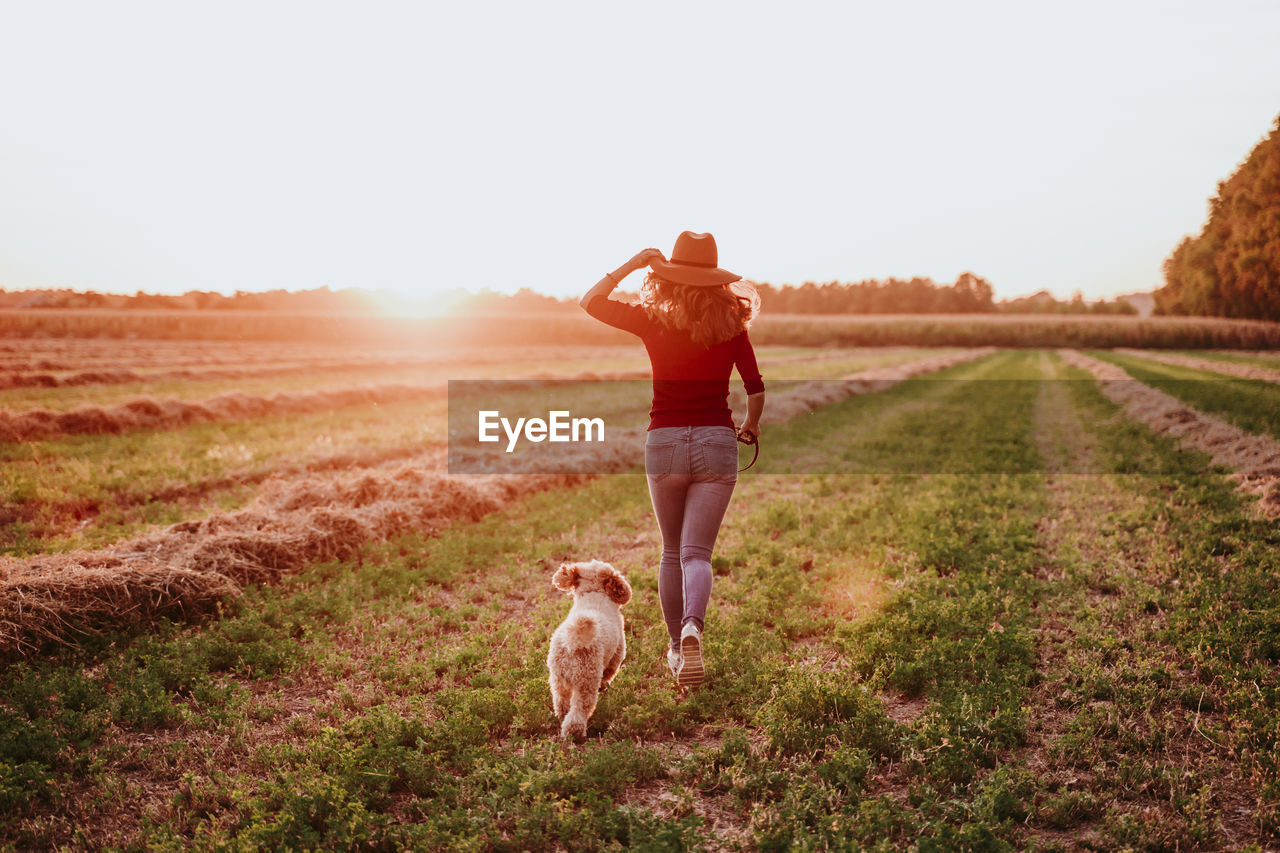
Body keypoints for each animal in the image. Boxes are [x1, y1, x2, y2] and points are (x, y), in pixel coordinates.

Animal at [547, 558, 632, 737]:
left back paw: (562, 718)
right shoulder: (617, 653)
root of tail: (572, 643)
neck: (593, 594)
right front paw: (604, 685)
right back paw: (574, 732)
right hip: (586, 681)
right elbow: (609, 672)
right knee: (579, 710)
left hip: (559, 679)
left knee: (562, 703)